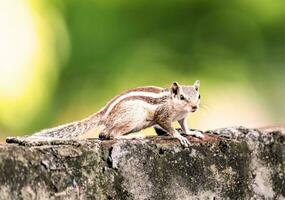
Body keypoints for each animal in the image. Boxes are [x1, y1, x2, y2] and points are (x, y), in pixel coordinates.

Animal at [29, 80, 202, 148]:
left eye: (198, 96)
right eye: (182, 97)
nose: (194, 107)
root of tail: (105, 113)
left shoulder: (182, 118)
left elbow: (185, 126)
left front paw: (192, 133)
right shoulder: (162, 115)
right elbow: (168, 126)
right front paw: (179, 136)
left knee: (104, 134)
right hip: (133, 117)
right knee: (112, 135)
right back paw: (132, 137)